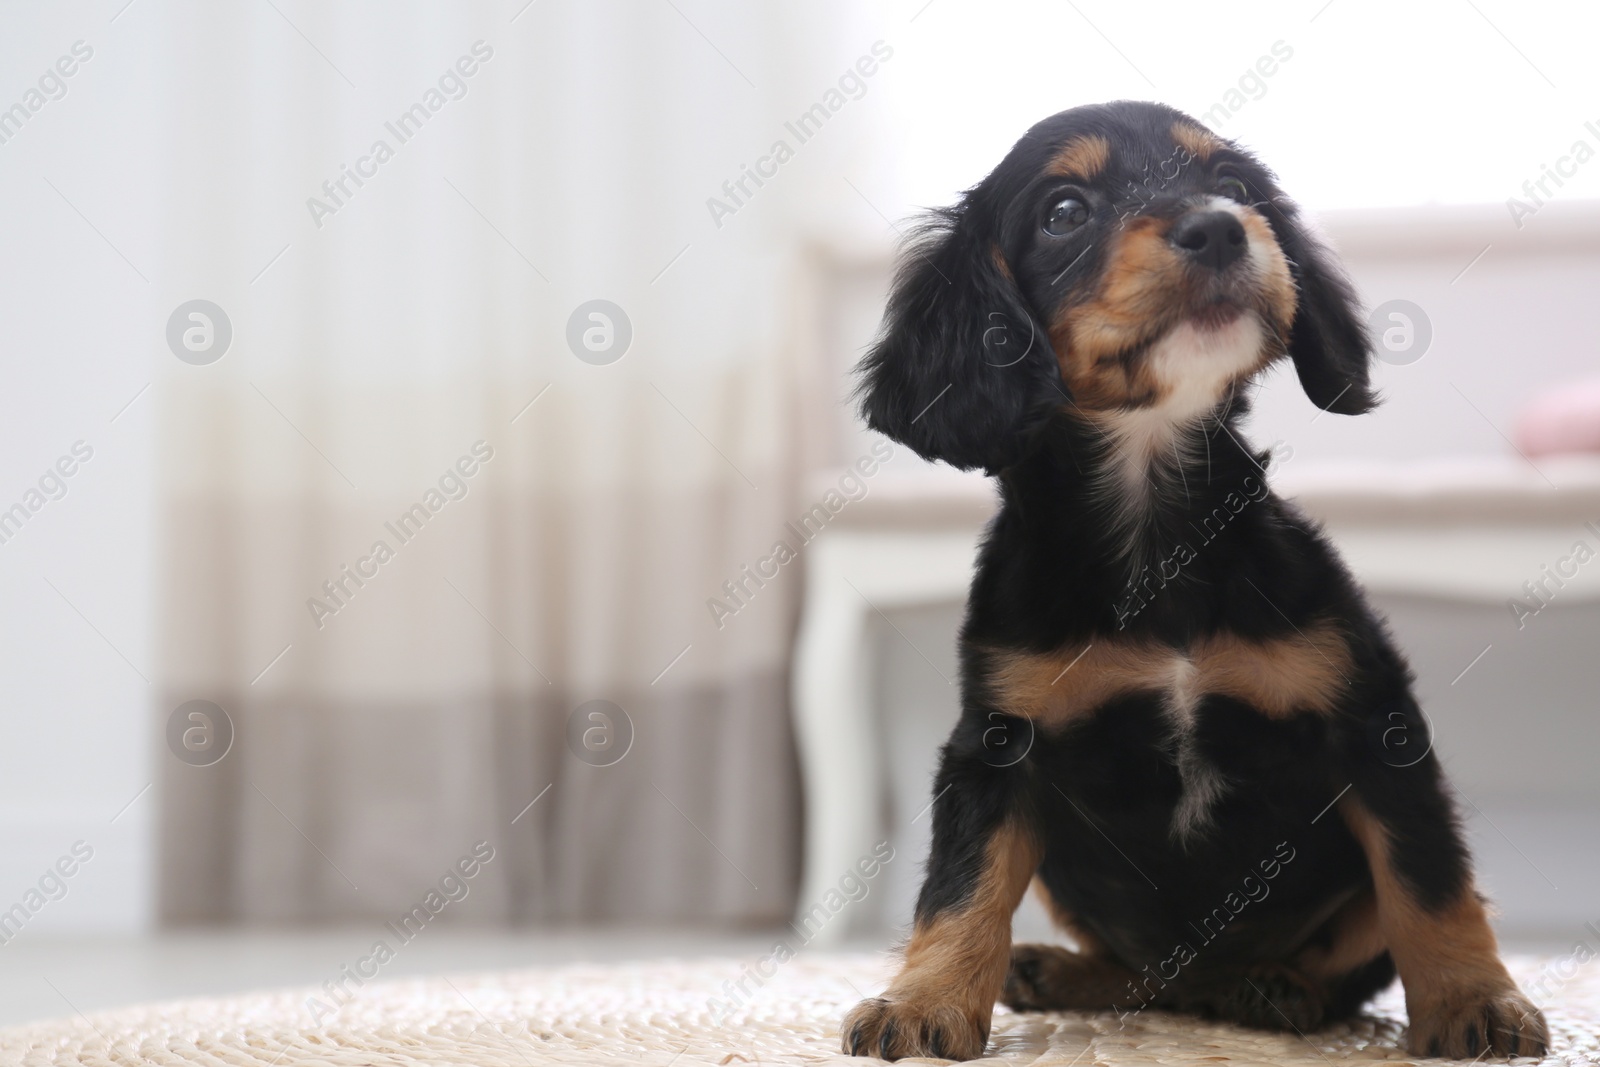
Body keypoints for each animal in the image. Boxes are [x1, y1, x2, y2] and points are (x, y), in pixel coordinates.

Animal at [844, 97, 1542, 1062]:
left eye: (1235, 185)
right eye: (1065, 212)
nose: (1219, 227)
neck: (1160, 533)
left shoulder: (1377, 722)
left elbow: (1429, 880)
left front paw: (1476, 1000)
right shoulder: (997, 744)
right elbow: (959, 887)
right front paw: (923, 1001)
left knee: (1333, 955)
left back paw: (1277, 987)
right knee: (1143, 974)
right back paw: (1061, 971)